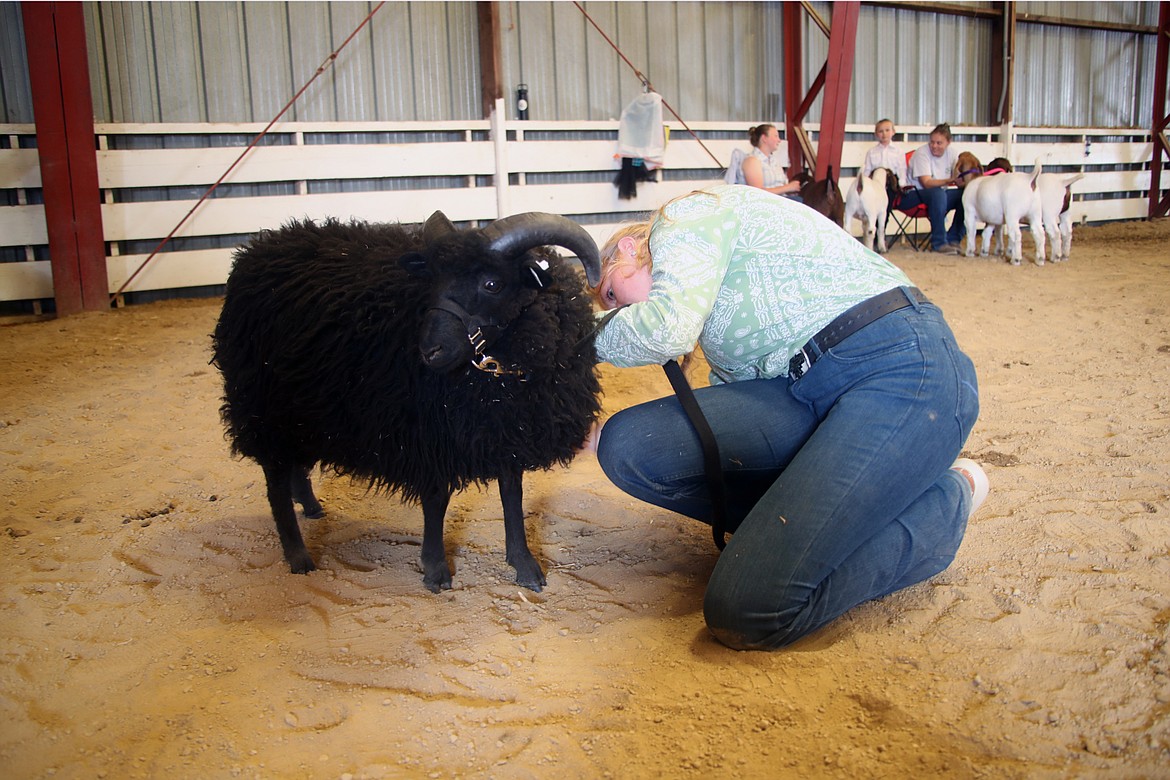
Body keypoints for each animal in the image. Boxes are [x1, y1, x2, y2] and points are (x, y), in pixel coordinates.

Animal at [208, 209, 603, 591]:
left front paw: (524, 564)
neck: (498, 372)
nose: (430, 350)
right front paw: (435, 568)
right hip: (263, 406)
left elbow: (512, 493)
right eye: (433, 284)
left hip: (303, 409)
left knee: (295, 465)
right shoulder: (429, 434)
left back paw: (311, 506)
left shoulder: (506, 429)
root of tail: (257, 249)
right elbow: (437, 500)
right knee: (275, 482)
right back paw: (298, 555)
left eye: (492, 284)